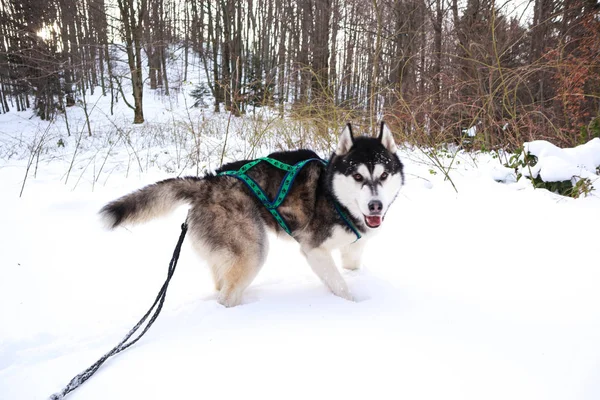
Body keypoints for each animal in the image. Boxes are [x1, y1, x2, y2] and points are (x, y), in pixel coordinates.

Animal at [101, 122, 406, 306]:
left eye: (384, 175)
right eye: (357, 176)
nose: (375, 206)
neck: (334, 196)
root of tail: (207, 182)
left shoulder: (353, 249)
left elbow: (351, 269)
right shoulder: (314, 249)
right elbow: (340, 285)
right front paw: (352, 306)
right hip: (252, 249)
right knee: (227, 296)